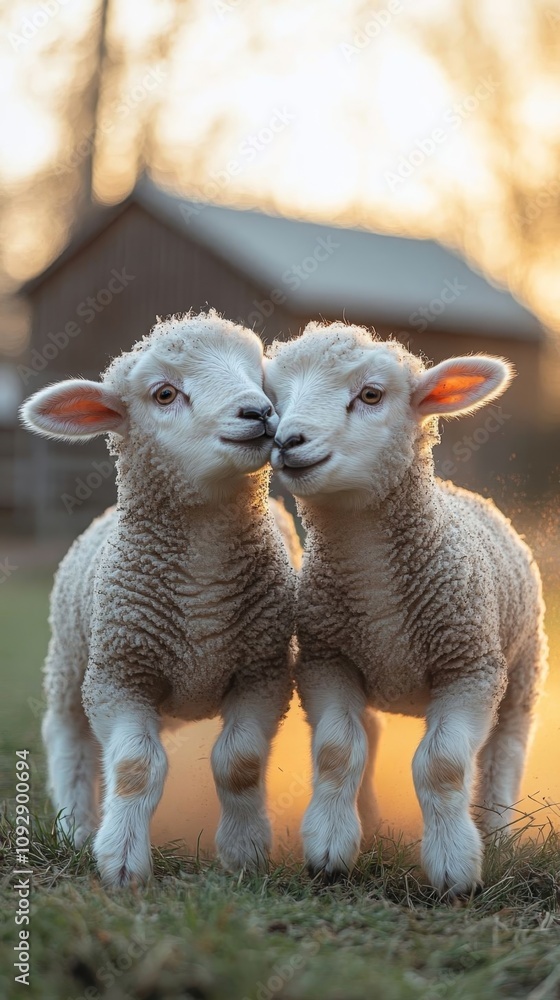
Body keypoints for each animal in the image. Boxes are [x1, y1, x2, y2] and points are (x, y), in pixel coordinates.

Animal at [21, 311, 297, 886]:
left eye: (259, 377)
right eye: (165, 394)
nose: (259, 412)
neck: (201, 595)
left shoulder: (263, 670)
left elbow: (240, 762)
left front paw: (243, 852)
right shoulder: (120, 674)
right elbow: (133, 767)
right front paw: (121, 860)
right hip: (70, 664)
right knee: (69, 739)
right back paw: (75, 828)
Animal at [264, 320, 547, 895]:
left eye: (371, 395)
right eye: (275, 399)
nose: (287, 441)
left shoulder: (470, 668)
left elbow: (442, 765)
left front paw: (455, 867)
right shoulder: (327, 660)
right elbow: (337, 752)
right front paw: (329, 850)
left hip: (522, 670)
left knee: (504, 753)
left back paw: (497, 836)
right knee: (369, 738)